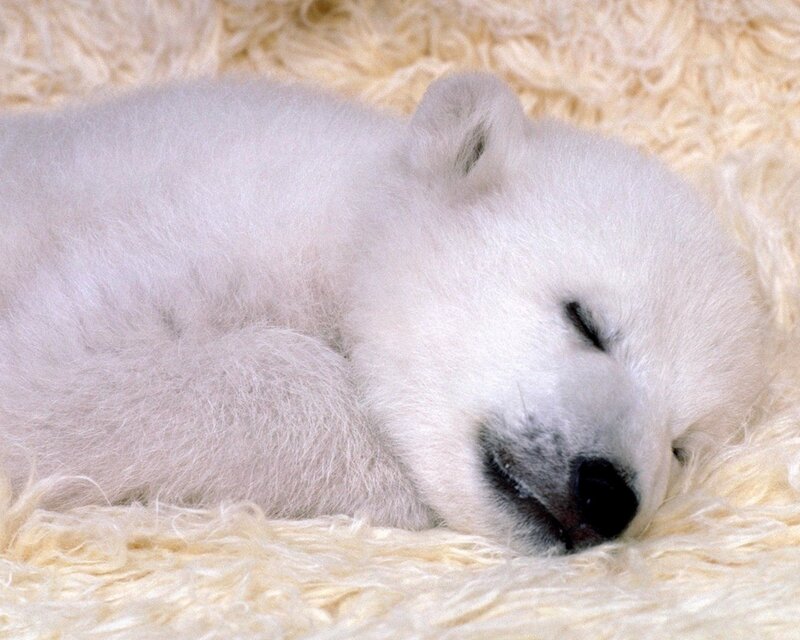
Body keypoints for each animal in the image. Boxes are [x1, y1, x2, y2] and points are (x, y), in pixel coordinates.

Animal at [0, 73, 764, 554]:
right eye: (587, 321)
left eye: (681, 443)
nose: (607, 493)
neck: (345, 211)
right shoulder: (194, 234)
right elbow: (54, 374)